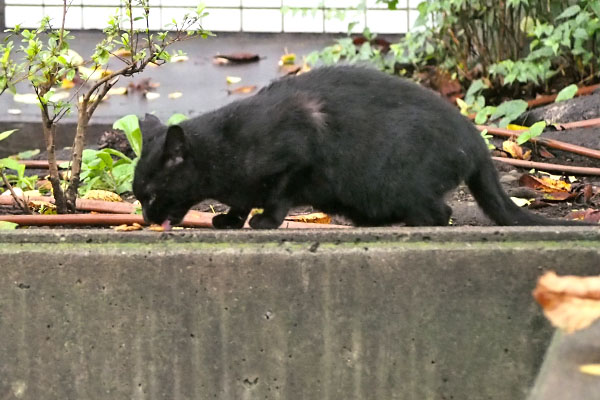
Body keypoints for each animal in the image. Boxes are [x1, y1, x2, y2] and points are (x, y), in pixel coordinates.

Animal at [135, 65, 584, 228]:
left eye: (152, 195)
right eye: (138, 196)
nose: (145, 217)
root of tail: (475, 138)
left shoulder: (297, 154)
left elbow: (276, 196)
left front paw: (264, 220)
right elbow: (243, 201)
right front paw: (231, 218)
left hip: (400, 184)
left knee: (441, 213)